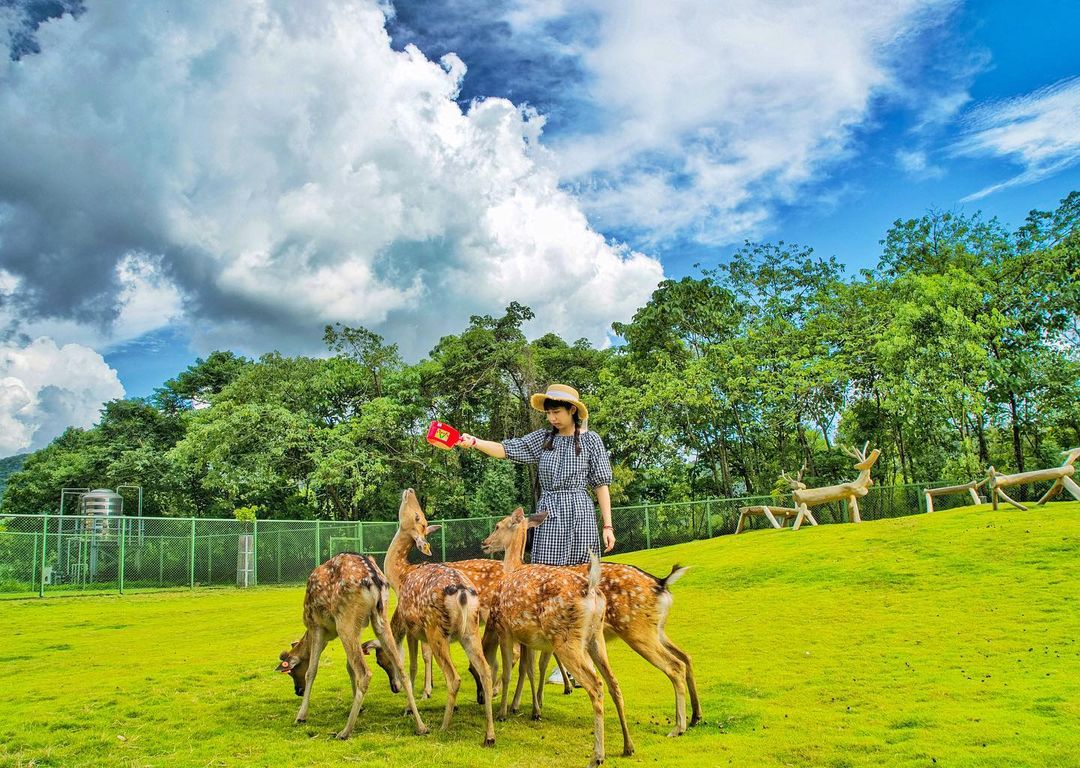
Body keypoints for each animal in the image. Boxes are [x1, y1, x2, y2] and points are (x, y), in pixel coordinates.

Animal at [274, 553, 425, 738]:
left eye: (292, 672)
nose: (298, 691)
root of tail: (374, 579)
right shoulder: (358, 627)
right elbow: (349, 667)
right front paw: (360, 707)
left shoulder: (317, 626)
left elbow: (312, 670)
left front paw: (301, 716)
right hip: (380, 617)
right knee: (401, 669)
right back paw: (421, 726)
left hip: (345, 620)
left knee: (365, 672)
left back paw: (345, 731)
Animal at [481, 509, 699, 738]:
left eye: (498, 525)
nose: (484, 543)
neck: (515, 568)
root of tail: (662, 583)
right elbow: (532, 666)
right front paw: (534, 704)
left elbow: (525, 667)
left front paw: (516, 707)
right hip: (655, 629)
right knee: (685, 657)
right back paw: (694, 717)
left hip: (637, 630)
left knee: (674, 665)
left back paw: (678, 726)